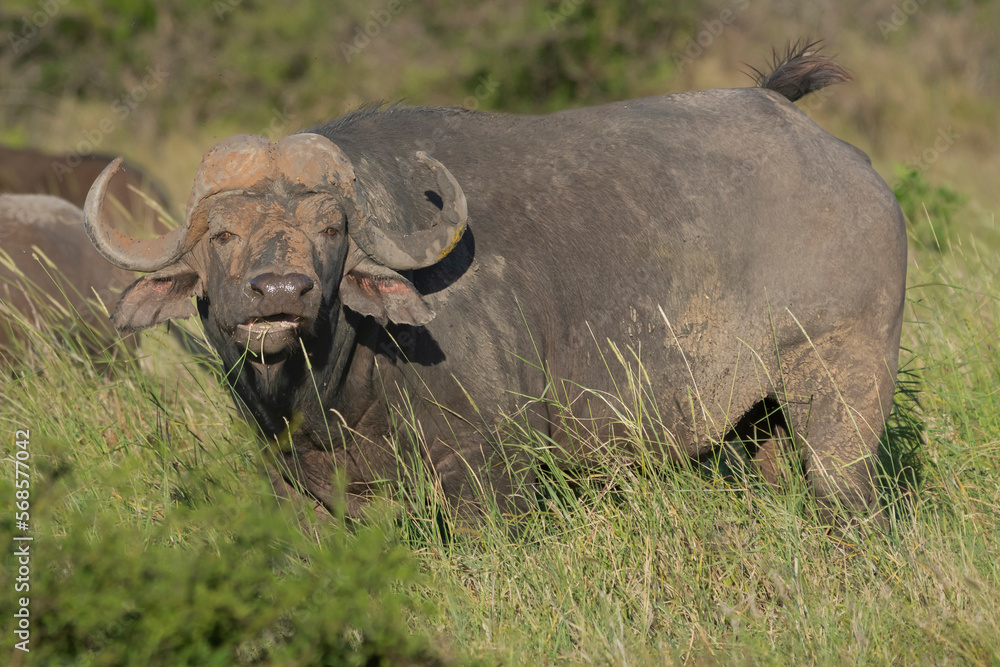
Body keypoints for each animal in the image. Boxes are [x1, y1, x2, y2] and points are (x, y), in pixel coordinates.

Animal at [83, 45, 907, 528]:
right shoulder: (303, 491)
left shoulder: (492, 473)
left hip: (840, 397)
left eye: (330, 230)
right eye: (222, 235)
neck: (341, 386)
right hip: (760, 418)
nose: (280, 291)